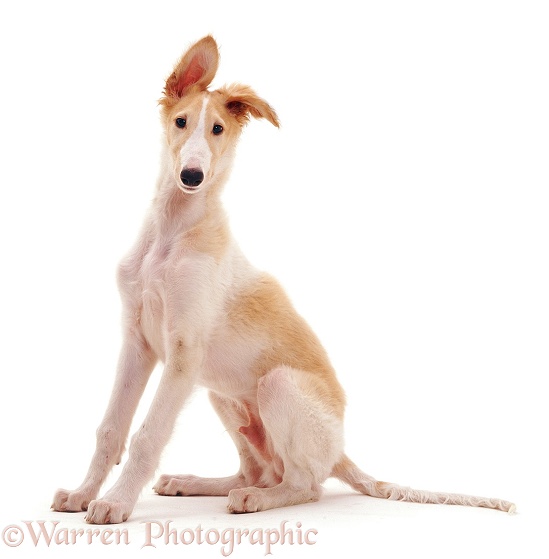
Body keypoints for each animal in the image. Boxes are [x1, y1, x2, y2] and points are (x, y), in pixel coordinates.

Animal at [52, 36, 512, 524]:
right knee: (255, 471)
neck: (172, 231)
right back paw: (194, 482)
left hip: (276, 385)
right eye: (180, 122)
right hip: (221, 395)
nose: (192, 176)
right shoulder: (137, 341)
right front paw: (83, 493)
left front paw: (115, 503)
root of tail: (341, 453)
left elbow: (146, 435)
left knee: (305, 485)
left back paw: (257, 500)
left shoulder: (183, 352)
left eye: (218, 130)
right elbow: (110, 428)